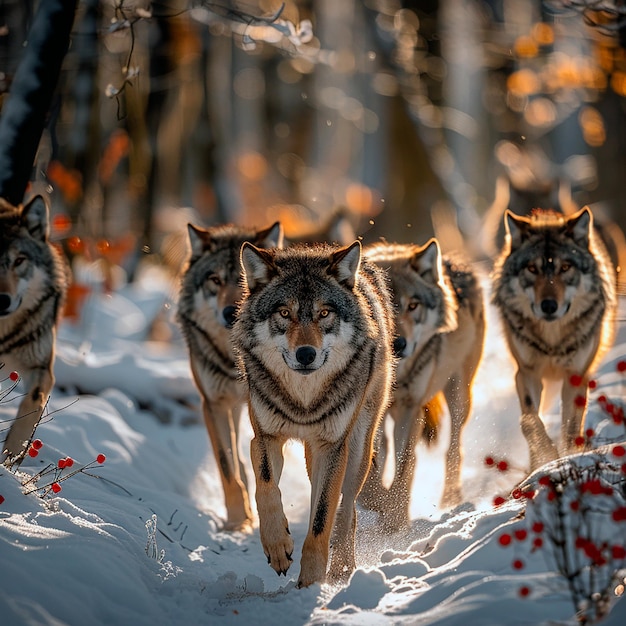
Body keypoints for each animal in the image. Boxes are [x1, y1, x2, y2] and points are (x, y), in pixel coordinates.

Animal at [177, 222, 282, 528]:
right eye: (215, 280)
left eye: (245, 280)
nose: (229, 313)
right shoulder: (213, 404)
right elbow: (227, 465)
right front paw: (237, 519)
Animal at [232, 239, 392, 584]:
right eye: (284, 313)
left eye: (324, 313)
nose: (306, 354)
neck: (303, 402)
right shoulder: (264, 438)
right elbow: (266, 489)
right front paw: (278, 547)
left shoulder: (331, 448)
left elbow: (321, 518)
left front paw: (312, 581)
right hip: (310, 456)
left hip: (356, 450)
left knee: (347, 509)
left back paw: (342, 568)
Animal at [358, 236, 486, 528]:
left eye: (413, 305)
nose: (398, 344)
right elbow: (373, 470)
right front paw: (377, 507)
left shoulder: (410, 408)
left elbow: (405, 466)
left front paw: (395, 519)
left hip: (459, 395)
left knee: (453, 448)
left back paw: (451, 499)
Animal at [490, 207, 616, 470]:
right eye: (532, 269)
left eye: (565, 267)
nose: (548, 306)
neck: (553, 340)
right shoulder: (526, 373)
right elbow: (529, 422)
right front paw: (546, 457)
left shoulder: (576, 376)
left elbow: (571, 427)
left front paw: (567, 458)